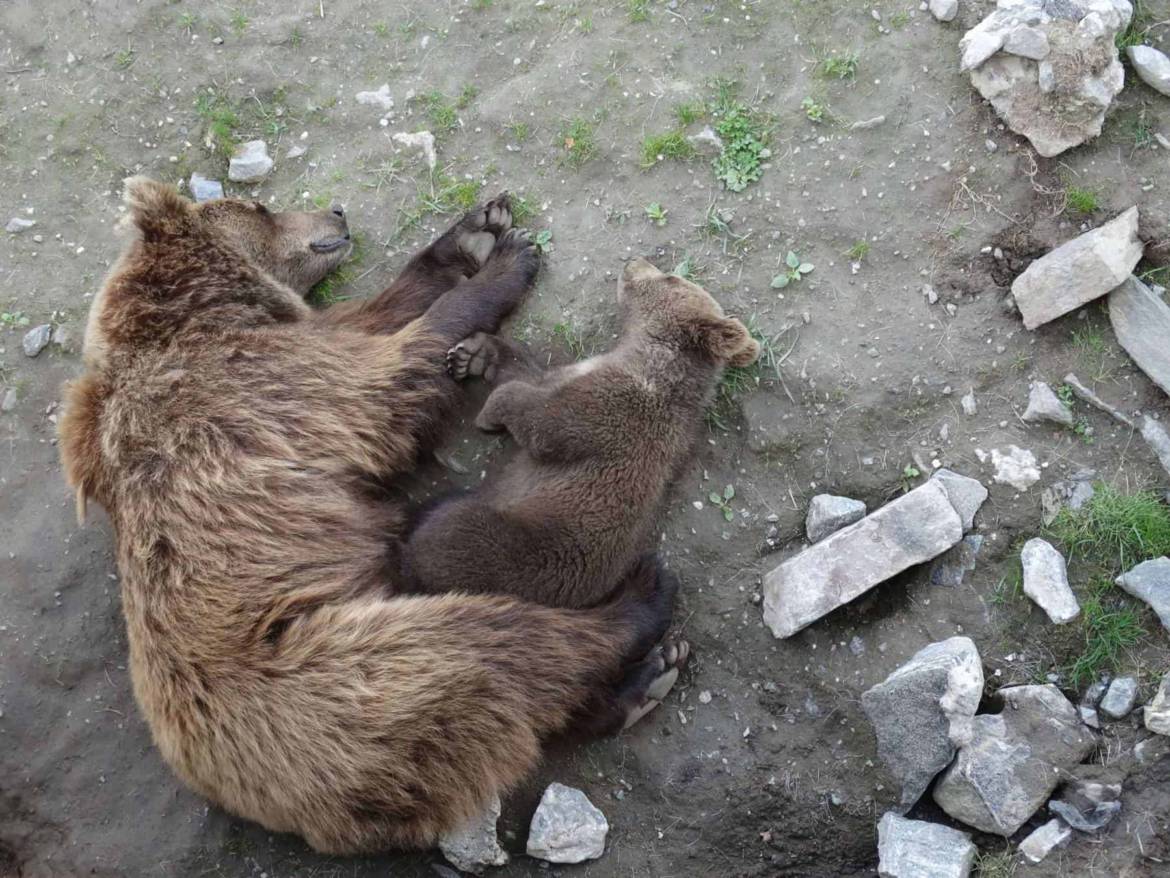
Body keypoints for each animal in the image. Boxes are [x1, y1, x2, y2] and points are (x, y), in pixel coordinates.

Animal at [59, 180, 683, 861]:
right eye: (259, 207)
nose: (334, 210)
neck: (200, 314)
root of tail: (294, 810)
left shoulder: (308, 337)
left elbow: (382, 311)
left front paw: (475, 231)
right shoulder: (261, 391)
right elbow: (393, 372)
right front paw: (509, 261)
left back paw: (643, 684)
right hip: (355, 674)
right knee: (508, 643)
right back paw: (644, 609)